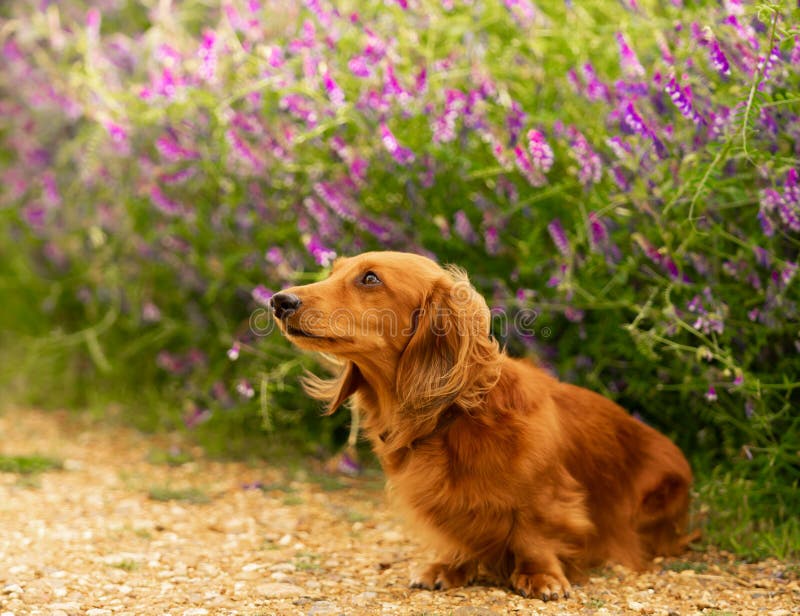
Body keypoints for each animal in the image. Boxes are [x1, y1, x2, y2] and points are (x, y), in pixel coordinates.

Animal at [270, 251, 692, 600]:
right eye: (333, 272)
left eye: (370, 278)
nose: (278, 301)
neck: (451, 417)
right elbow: (458, 534)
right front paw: (450, 566)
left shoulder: (545, 493)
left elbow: (534, 533)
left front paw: (540, 577)